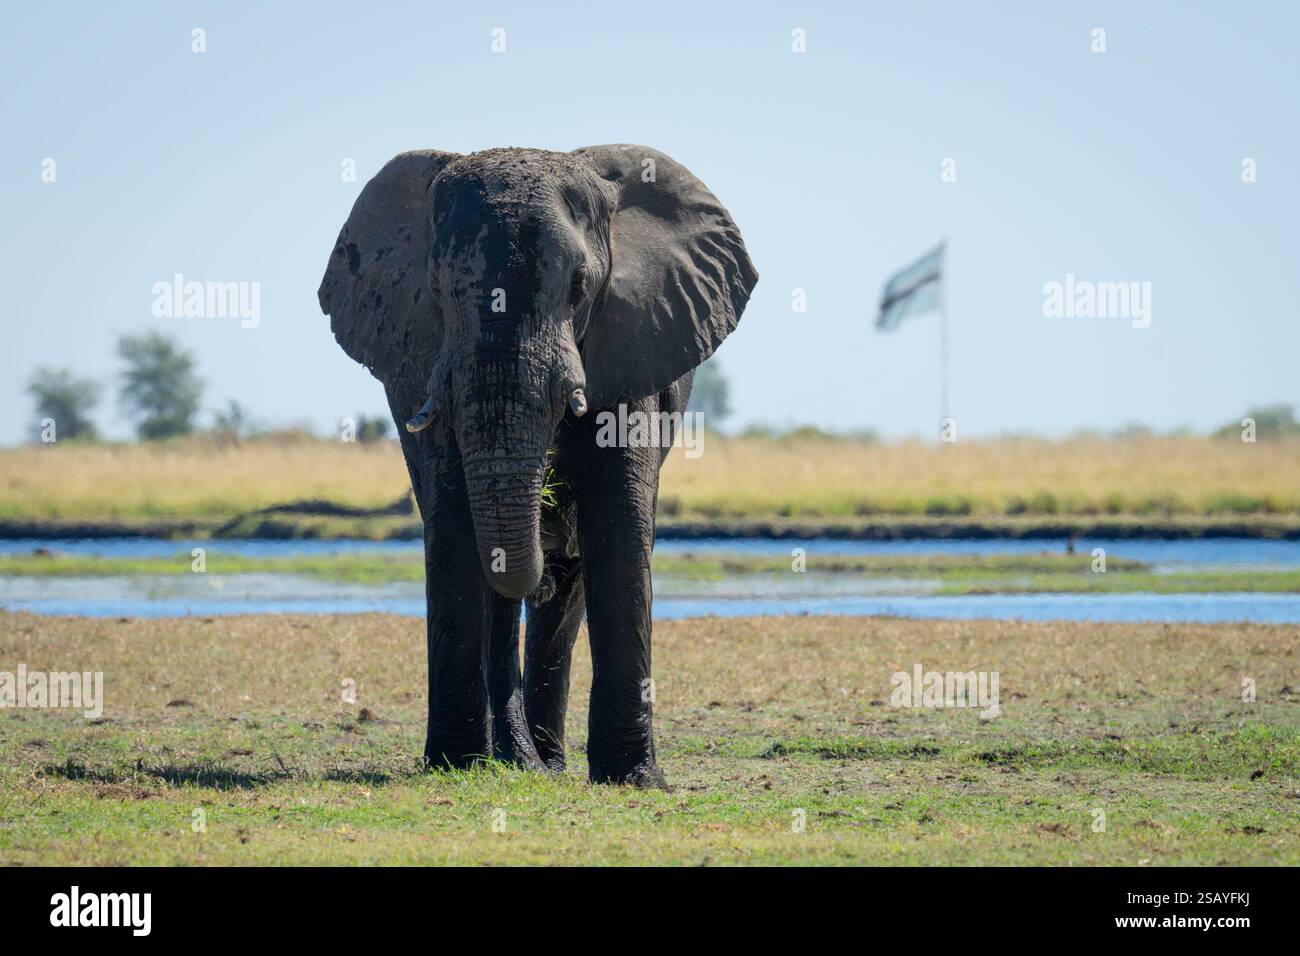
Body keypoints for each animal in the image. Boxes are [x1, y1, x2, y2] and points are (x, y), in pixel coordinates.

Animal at [318, 145, 757, 787]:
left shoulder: (633, 344)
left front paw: (634, 781)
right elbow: (453, 522)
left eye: (578, 286)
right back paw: (521, 761)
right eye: (436, 288)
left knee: (568, 585)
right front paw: (454, 765)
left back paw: (546, 763)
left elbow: (618, 526)